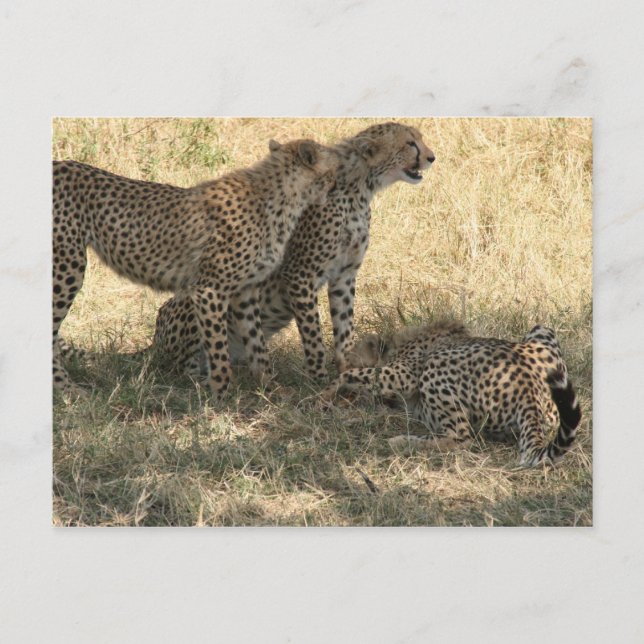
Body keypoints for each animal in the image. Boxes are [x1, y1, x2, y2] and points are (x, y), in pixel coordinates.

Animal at [52, 137, 338, 399]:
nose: (336, 187)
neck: (282, 197)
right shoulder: (209, 290)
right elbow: (218, 350)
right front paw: (221, 397)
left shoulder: (245, 290)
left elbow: (257, 344)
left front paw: (271, 389)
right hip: (68, 266)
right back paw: (67, 389)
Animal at [146, 121, 435, 381]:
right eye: (410, 143)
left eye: (419, 139)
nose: (432, 157)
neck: (360, 188)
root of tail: (154, 343)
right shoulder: (300, 274)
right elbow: (314, 337)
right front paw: (319, 382)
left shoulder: (344, 273)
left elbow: (344, 329)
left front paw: (347, 373)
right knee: (185, 363)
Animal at [321, 321, 582, 466]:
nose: (333, 360)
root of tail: (529, 388)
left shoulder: (403, 374)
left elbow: (352, 375)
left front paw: (324, 395)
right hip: (542, 330)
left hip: (435, 365)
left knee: (462, 437)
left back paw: (401, 442)